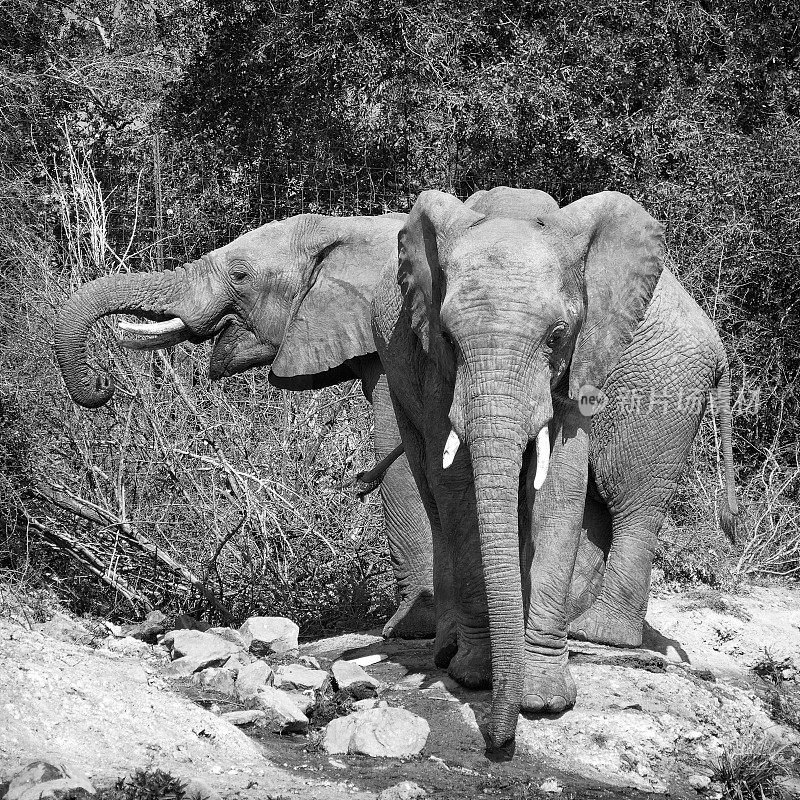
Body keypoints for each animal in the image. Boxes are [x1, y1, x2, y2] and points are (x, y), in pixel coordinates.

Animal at [54, 211, 438, 636]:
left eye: (239, 275)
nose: (103, 382)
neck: (348, 227)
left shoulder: (393, 342)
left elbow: (400, 460)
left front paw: (412, 625)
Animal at [372, 186, 740, 752]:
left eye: (556, 335)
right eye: (449, 338)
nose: (498, 744)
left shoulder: (582, 358)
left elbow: (560, 491)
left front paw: (542, 702)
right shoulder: (431, 367)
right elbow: (457, 489)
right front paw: (476, 675)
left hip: (661, 391)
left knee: (633, 501)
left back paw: (595, 633)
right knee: (432, 491)